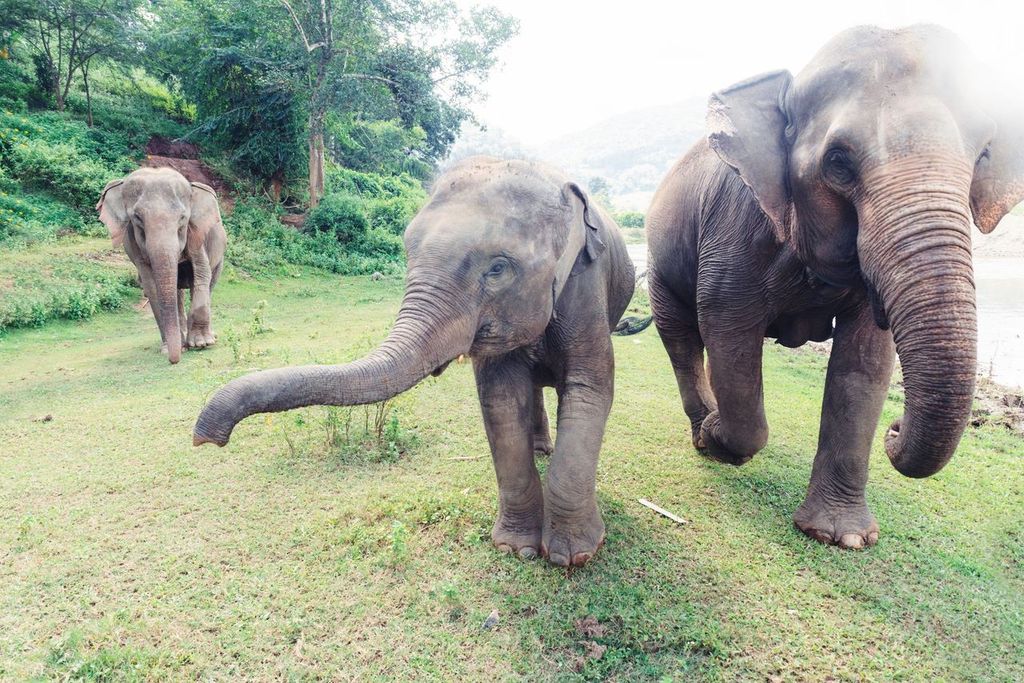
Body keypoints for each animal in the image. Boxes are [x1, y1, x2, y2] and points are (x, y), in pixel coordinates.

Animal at [97, 167, 226, 364]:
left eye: (183, 218)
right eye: (137, 217)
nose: (174, 360)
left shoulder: (196, 234)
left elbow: (202, 273)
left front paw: (201, 344)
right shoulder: (133, 244)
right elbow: (151, 285)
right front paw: (170, 349)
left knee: (208, 283)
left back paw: (207, 337)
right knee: (177, 292)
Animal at [193, 157, 636, 567]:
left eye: (497, 268)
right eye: (408, 251)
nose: (205, 439)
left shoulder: (586, 288)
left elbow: (590, 389)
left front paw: (571, 557)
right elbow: (501, 400)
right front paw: (516, 549)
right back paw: (541, 448)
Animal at [646, 25, 1024, 548]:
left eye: (983, 154)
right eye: (839, 163)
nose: (895, 428)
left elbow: (865, 361)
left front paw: (840, 537)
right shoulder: (737, 228)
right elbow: (726, 324)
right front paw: (718, 435)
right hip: (659, 262)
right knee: (680, 335)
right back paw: (702, 429)